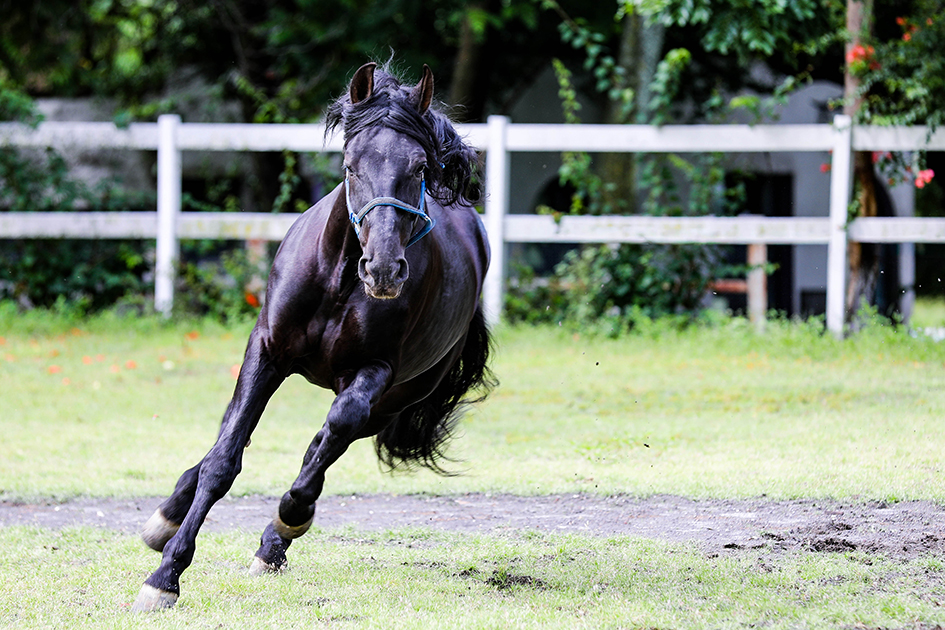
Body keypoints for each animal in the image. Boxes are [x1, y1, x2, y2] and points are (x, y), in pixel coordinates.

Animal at [132, 62, 495, 612]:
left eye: (418, 168)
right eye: (350, 165)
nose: (383, 270)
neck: (338, 280)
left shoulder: (375, 373)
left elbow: (326, 442)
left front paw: (288, 518)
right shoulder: (265, 352)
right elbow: (223, 460)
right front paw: (165, 575)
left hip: (394, 400)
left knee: (326, 442)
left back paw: (273, 543)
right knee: (231, 435)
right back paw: (169, 514)